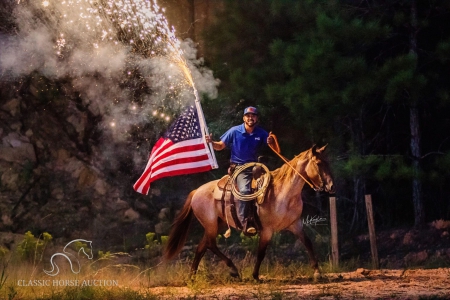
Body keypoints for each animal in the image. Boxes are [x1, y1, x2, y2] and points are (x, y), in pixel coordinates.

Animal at [164, 144, 334, 280]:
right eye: (319, 163)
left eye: (328, 162)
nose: (331, 186)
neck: (283, 192)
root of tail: (196, 191)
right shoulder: (267, 230)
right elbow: (261, 252)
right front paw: (255, 276)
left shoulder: (295, 224)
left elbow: (308, 243)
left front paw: (317, 272)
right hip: (211, 224)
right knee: (211, 244)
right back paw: (233, 269)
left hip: (217, 224)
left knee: (202, 246)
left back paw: (192, 276)